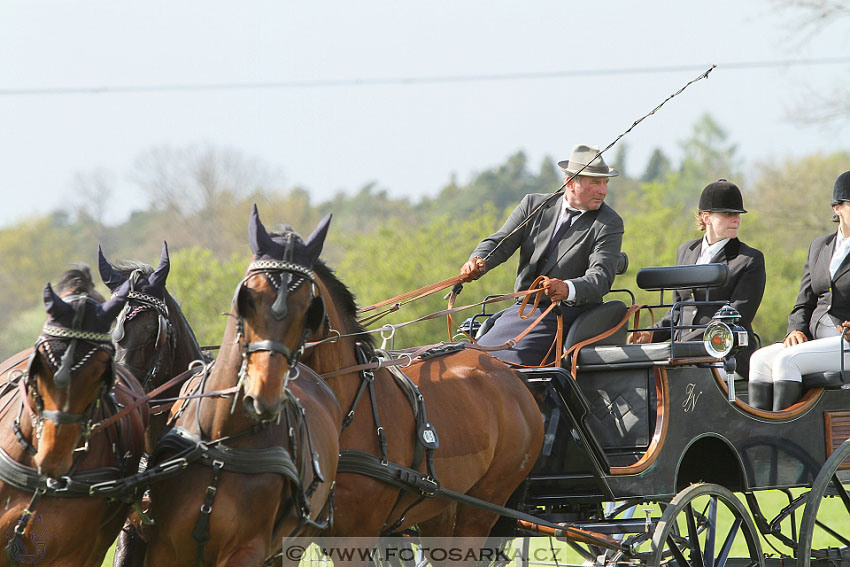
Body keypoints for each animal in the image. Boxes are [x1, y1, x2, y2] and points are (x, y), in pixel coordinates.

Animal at [145, 211, 342, 564]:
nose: (264, 394)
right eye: (249, 296)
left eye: (310, 308)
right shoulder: (162, 546)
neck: (221, 441)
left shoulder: (247, 549)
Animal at [242, 210, 544, 556]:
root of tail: (513, 378)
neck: (343, 406)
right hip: (439, 507)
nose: (259, 384)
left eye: (304, 301)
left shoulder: (356, 533)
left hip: (483, 506)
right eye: (246, 294)